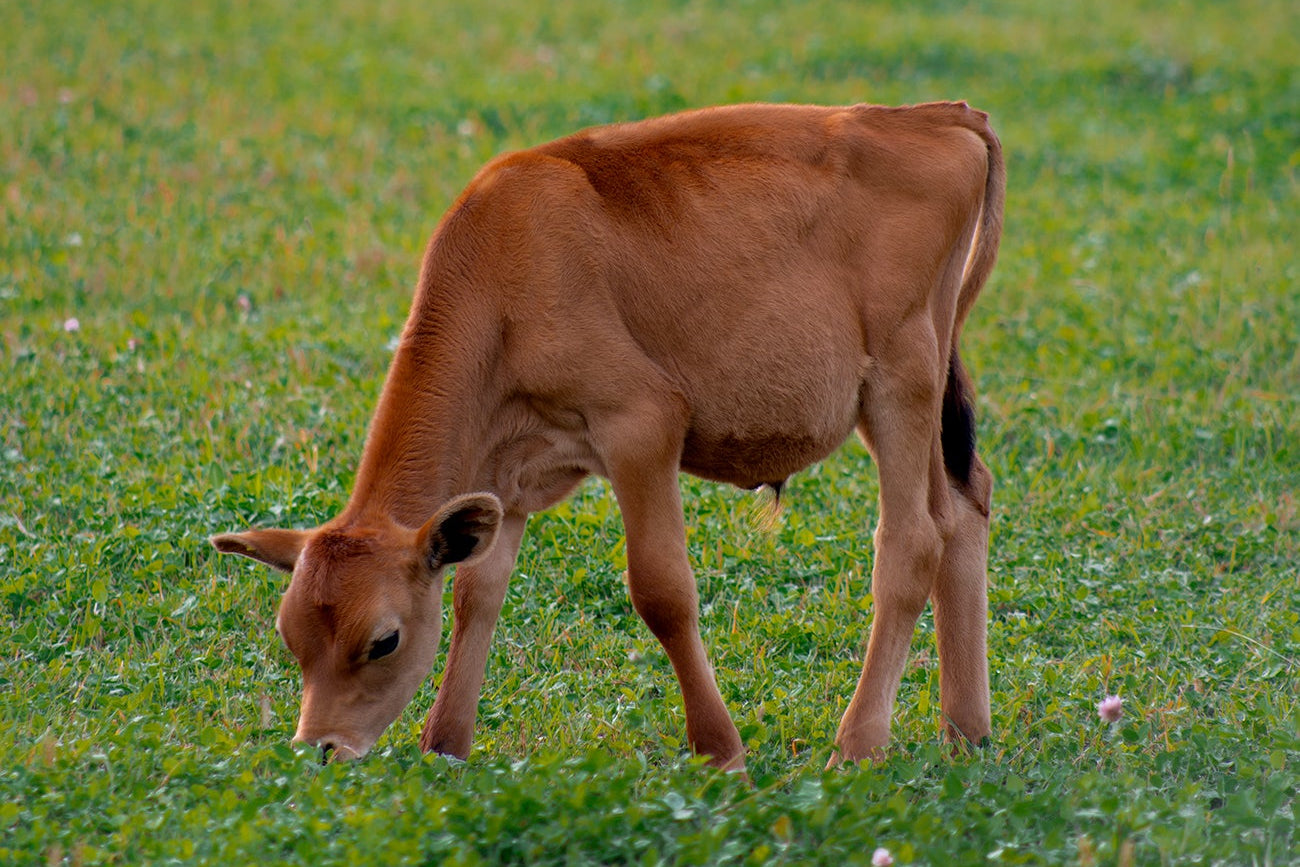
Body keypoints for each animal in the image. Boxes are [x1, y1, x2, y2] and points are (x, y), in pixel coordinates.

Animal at [212, 101, 1004, 772]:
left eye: (383, 641)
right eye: (290, 636)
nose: (319, 747)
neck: (503, 273)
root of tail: (935, 115)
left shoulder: (641, 424)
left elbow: (661, 589)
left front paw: (720, 750)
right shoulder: (508, 475)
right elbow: (478, 592)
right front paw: (445, 744)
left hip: (900, 378)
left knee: (912, 540)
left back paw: (858, 744)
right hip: (928, 386)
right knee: (963, 507)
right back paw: (965, 731)